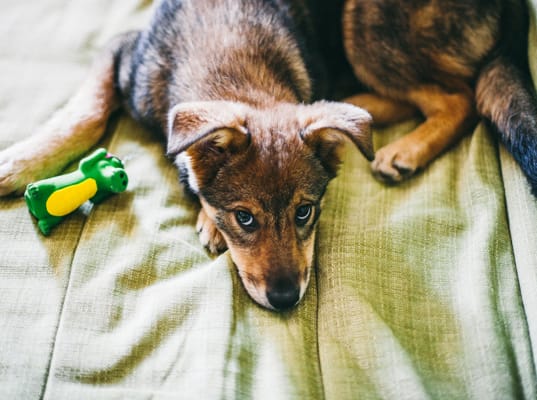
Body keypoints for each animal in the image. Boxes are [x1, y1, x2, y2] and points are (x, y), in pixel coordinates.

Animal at [1, 0, 536, 310]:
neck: (228, 51)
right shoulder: (122, 49)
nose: (285, 301)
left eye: (305, 212)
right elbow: (88, 111)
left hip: (366, 28)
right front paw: (21, 162)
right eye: (245, 218)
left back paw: (401, 146)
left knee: (459, 97)